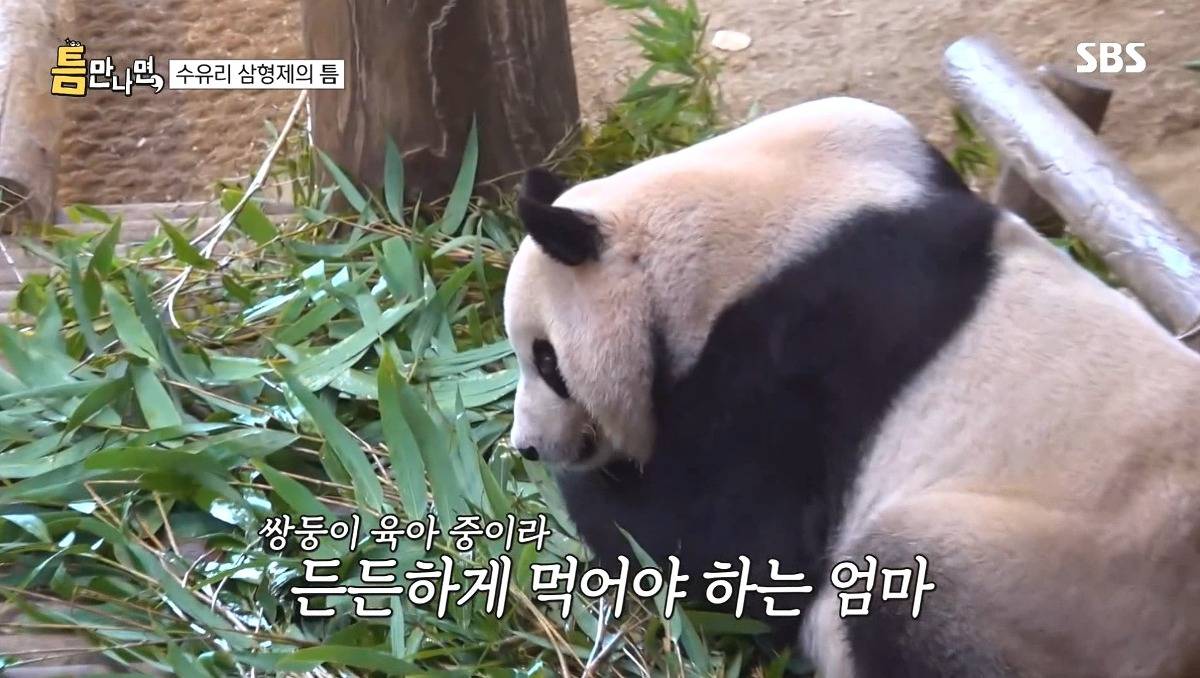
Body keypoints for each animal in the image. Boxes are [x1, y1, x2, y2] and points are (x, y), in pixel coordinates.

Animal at [501, 96, 1200, 676]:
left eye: (547, 360)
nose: (529, 446)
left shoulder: (793, 358)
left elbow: (732, 552)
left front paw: (596, 489)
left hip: (1071, 583)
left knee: (907, 585)